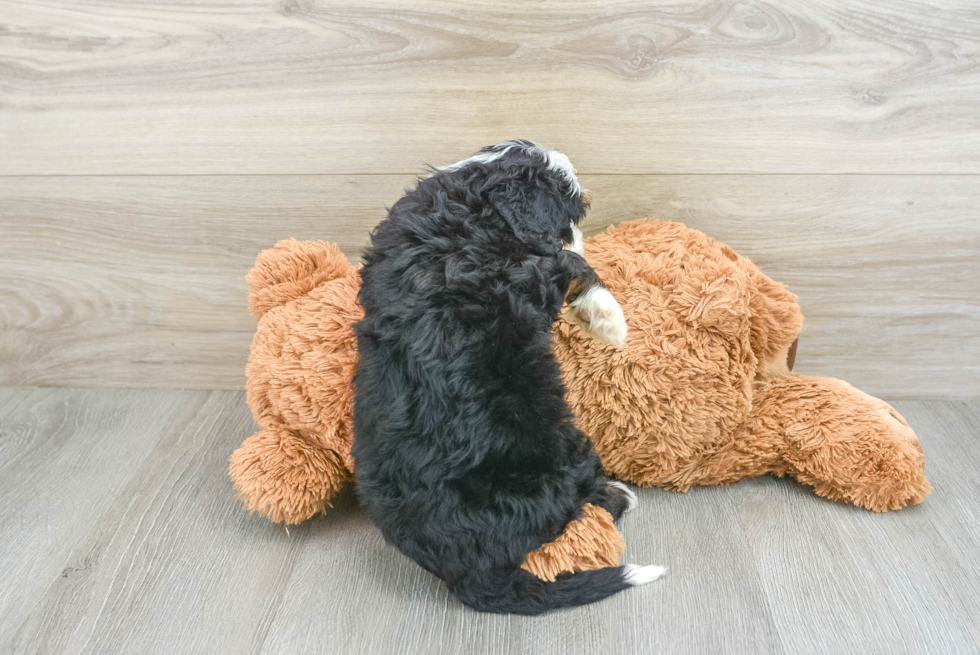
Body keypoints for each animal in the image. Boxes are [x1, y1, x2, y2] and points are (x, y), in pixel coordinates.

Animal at [352, 138, 668, 616]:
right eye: (572, 216)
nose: (583, 236)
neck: (468, 213)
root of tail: (469, 575)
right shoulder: (524, 275)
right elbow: (568, 261)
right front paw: (608, 320)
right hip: (567, 447)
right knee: (579, 502)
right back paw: (618, 495)